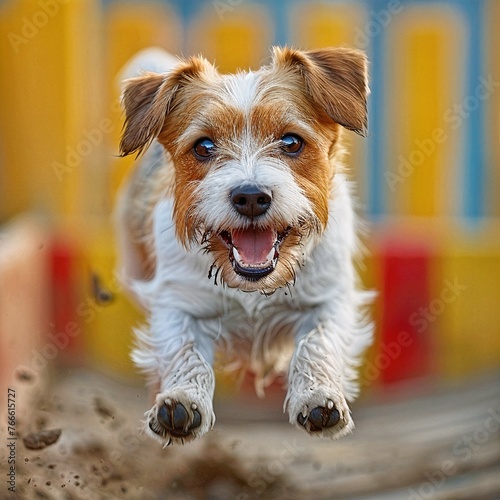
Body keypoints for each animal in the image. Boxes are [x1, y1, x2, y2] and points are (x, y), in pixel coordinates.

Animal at [115, 47, 374, 446]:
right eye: (204, 146)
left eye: (291, 142)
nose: (251, 196)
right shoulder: (177, 302)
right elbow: (184, 350)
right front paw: (181, 401)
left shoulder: (330, 298)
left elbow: (318, 343)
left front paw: (318, 396)